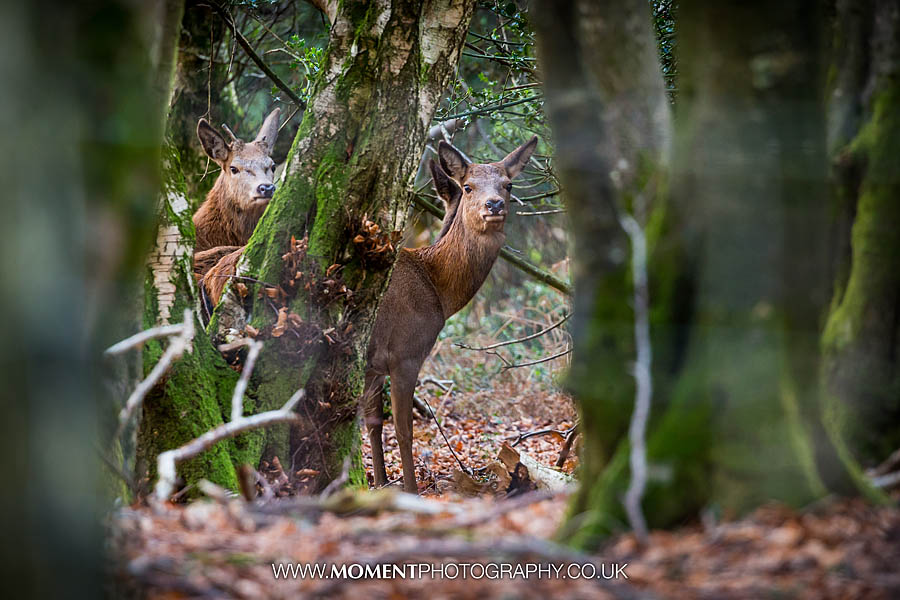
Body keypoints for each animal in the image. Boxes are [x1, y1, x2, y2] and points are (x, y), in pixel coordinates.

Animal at [363, 136, 538, 493]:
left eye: (509, 184)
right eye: (468, 186)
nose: (494, 204)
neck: (437, 290)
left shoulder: (375, 366)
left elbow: (374, 423)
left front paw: (381, 483)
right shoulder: (405, 352)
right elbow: (403, 430)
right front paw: (410, 491)